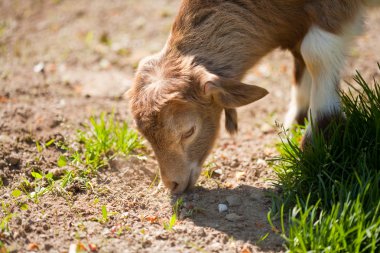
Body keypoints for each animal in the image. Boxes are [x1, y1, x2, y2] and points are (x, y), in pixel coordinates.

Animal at [129, 0, 378, 194]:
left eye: (189, 131)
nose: (172, 184)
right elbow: (300, 55)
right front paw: (295, 123)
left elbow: (315, 53)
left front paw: (319, 140)